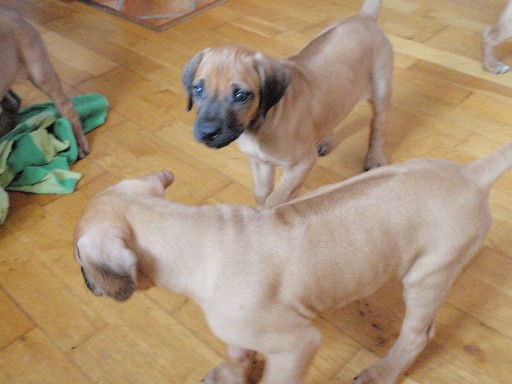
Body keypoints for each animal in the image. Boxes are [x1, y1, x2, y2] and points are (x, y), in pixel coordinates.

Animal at [73, 142, 512, 382]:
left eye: (78, 257)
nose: (85, 283)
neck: (195, 235)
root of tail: (471, 174)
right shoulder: (242, 327)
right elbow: (237, 352)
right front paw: (231, 376)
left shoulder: (297, 345)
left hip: (427, 276)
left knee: (418, 334)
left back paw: (382, 373)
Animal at [183, 0, 392, 208]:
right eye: (197, 89)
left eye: (241, 95)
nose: (207, 133)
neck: (259, 127)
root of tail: (365, 17)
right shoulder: (259, 162)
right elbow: (262, 194)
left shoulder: (301, 164)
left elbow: (276, 199)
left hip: (381, 90)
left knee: (378, 127)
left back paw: (375, 158)